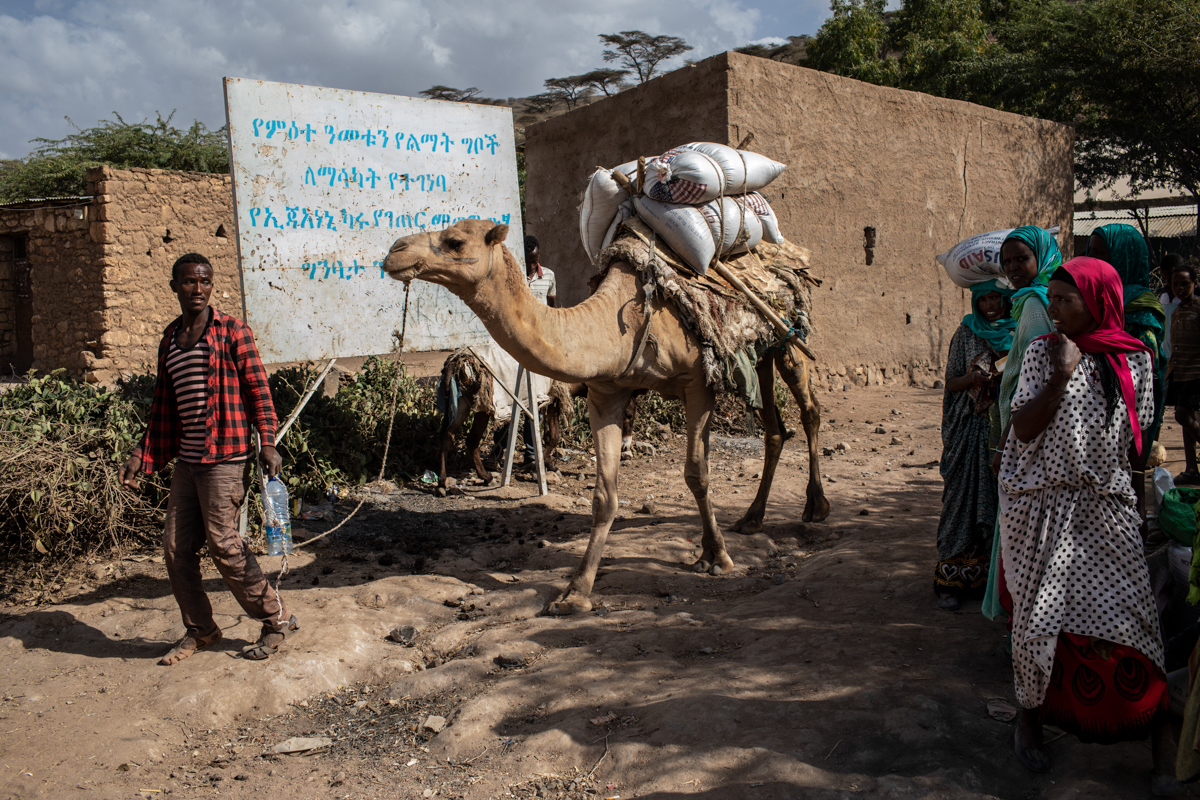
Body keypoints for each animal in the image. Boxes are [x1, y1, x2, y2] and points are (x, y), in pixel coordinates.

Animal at [384, 220, 827, 615]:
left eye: (455, 241)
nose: (395, 252)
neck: (620, 324)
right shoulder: (606, 393)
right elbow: (604, 497)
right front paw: (575, 594)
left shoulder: (699, 381)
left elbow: (697, 474)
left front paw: (717, 557)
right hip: (758, 353)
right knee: (774, 428)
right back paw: (752, 518)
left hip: (788, 336)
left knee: (808, 409)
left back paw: (816, 507)